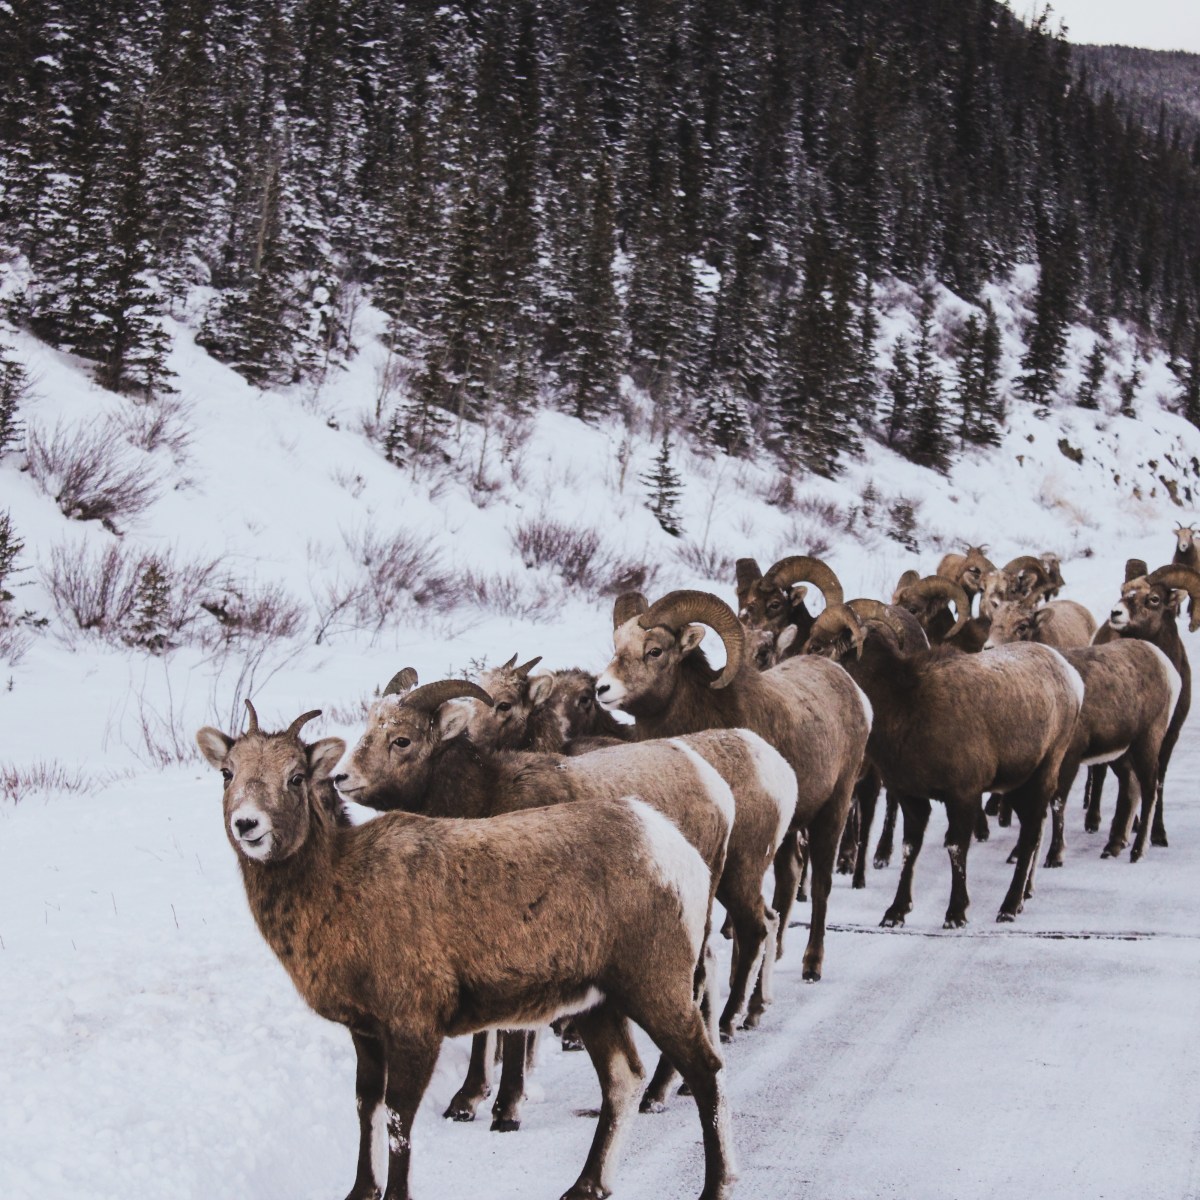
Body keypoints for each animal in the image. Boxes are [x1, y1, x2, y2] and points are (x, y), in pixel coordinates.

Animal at [196, 702, 737, 1200]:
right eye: (227, 773)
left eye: (295, 777)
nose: (248, 825)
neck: (335, 892)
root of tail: (676, 852)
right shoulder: (365, 1031)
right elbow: (367, 1107)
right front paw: (361, 1189)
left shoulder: (414, 1026)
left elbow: (399, 1119)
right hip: (597, 1004)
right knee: (624, 1080)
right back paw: (585, 1185)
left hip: (654, 985)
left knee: (706, 1070)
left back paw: (715, 1186)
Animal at [336, 675, 793, 1126]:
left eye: (401, 740)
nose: (341, 777)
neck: (486, 798)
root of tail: (714, 783)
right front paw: (465, 1101)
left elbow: (513, 1030)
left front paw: (506, 1109)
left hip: (722, 889)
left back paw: (667, 1083)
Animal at [595, 588, 872, 984]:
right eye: (617, 644)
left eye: (655, 651)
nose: (602, 688)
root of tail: (852, 690)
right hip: (788, 832)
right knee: (789, 878)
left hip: (833, 810)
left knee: (820, 884)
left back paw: (811, 965)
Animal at [801, 603, 1082, 925]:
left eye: (819, 645)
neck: (905, 705)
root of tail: (1071, 678)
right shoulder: (911, 798)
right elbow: (909, 848)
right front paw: (896, 912)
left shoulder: (962, 795)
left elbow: (956, 848)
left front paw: (956, 913)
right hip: (1017, 786)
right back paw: (1022, 899)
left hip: (1042, 774)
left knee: (1031, 836)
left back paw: (1009, 908)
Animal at [1083, 563, 1200, 846]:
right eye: (1124, 591)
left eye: (1154, 599)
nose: (1116, 613)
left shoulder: (1170, 734)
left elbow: (1157, 780)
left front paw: (1158, 833)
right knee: (1101, 772)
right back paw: (1093, 821)